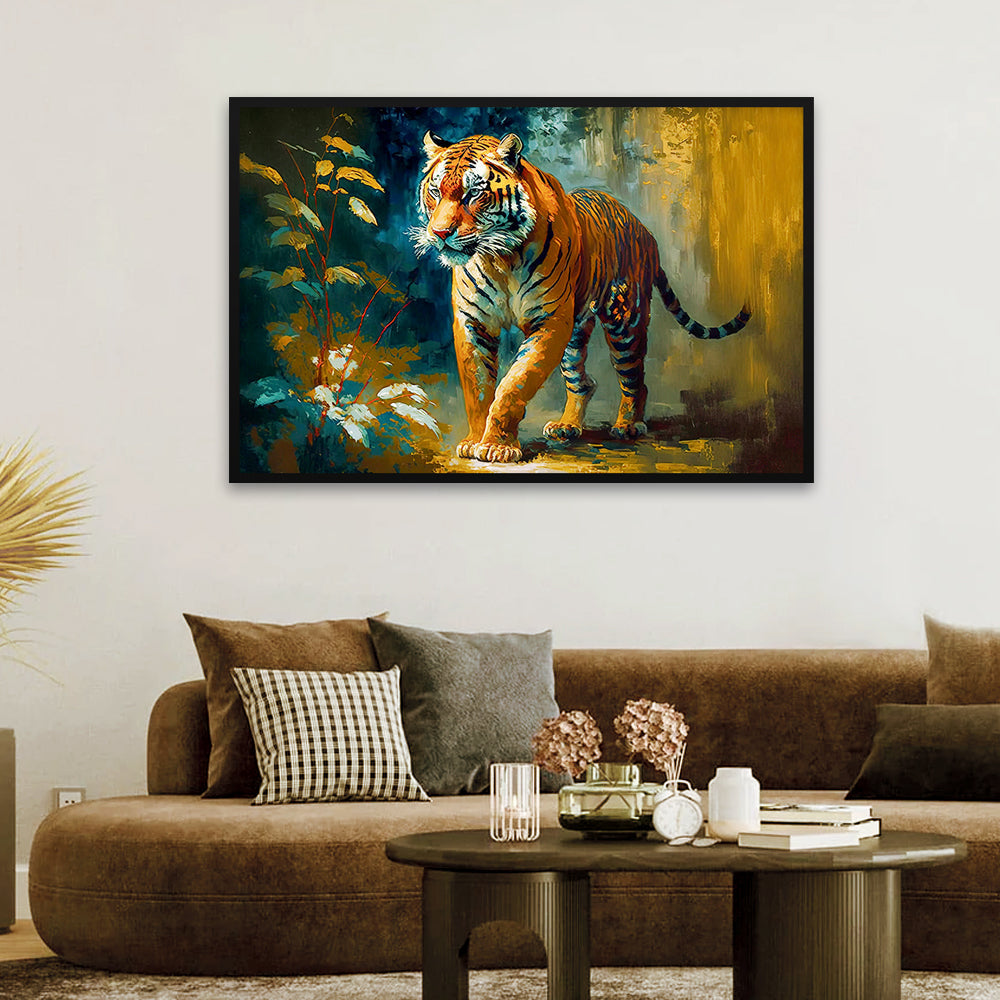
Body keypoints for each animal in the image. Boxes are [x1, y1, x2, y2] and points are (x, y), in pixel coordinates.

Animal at [412, 131, 751, 464]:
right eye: (436, 192)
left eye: (473, 194)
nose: (440, 233)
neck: (500, 259)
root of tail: (645, 230)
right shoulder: (473, 323)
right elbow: (478, 388)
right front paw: (474, 440)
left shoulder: (549, 321)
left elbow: (513, 384)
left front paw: (498, 446)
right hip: (575, 335)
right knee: (584, 382)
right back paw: (567, 426)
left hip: (625, 324)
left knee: (636, 380)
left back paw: (628, 425)